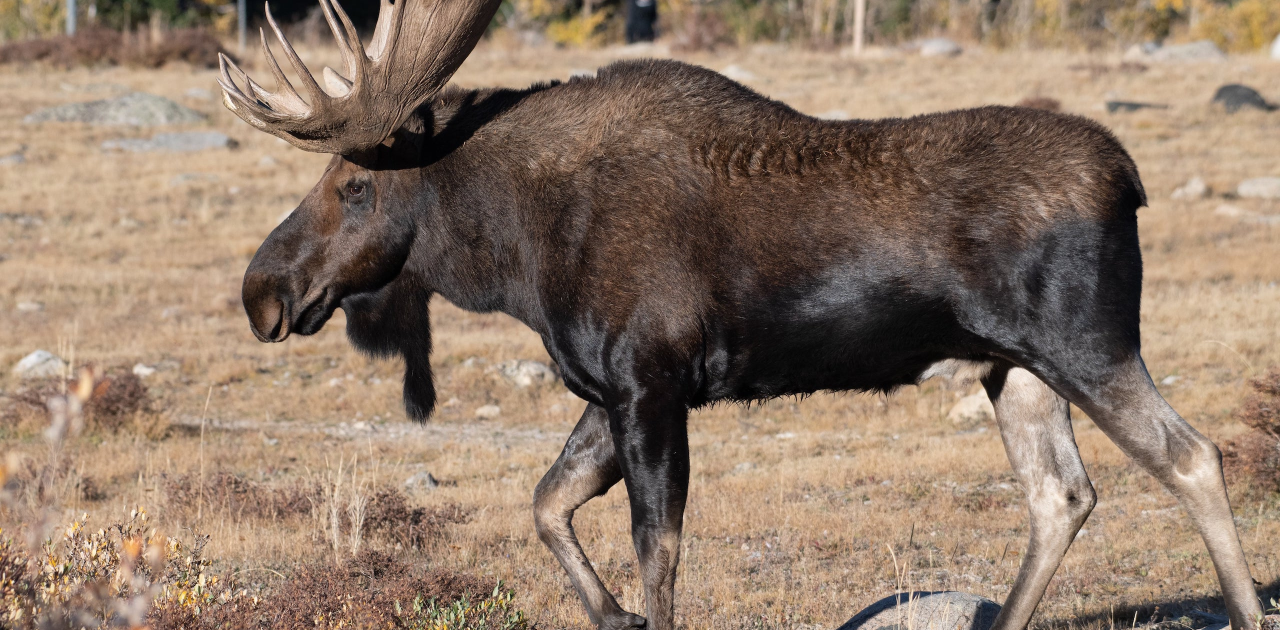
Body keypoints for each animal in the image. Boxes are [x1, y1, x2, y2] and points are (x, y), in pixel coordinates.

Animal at [215, 0, 1264, 627]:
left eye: (354, 184)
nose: (262, 292)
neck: (515, 253)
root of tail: (1130, 180)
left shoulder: (650, 382)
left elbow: (657, 547)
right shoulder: (609, 389)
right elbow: (548, 504)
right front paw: (613, 613)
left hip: (1087, 344)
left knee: (1192, 457)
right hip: (1014, 367)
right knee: (1061, 496)